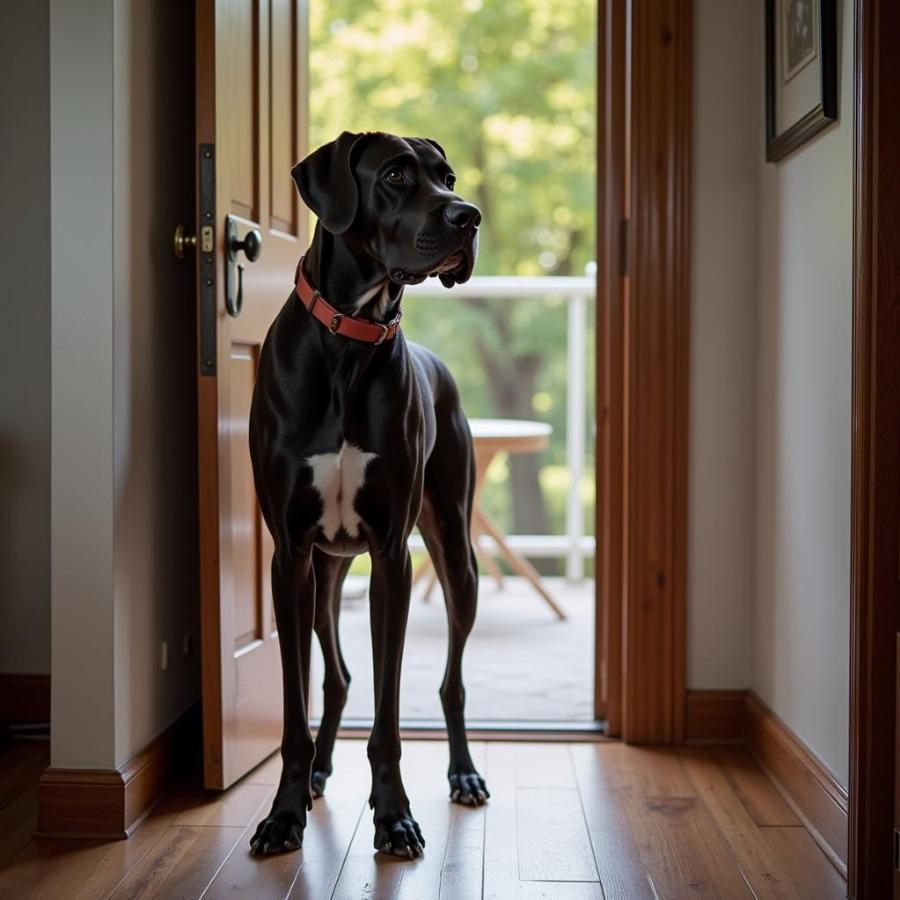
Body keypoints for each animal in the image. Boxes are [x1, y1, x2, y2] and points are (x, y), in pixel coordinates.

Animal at [246, 128, 488, 856]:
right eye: (396, 175)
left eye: (447, 177)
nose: (469, 216)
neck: (349, 339)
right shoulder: (289, 555)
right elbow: (296, 706)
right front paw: (284, 812)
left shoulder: (391, 556)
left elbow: (389, 714)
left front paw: (395, 815)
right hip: (324, 576)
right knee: (336, 677)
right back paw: (320, 772)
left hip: (455, 554)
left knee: (451, 684)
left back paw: (464, 774)